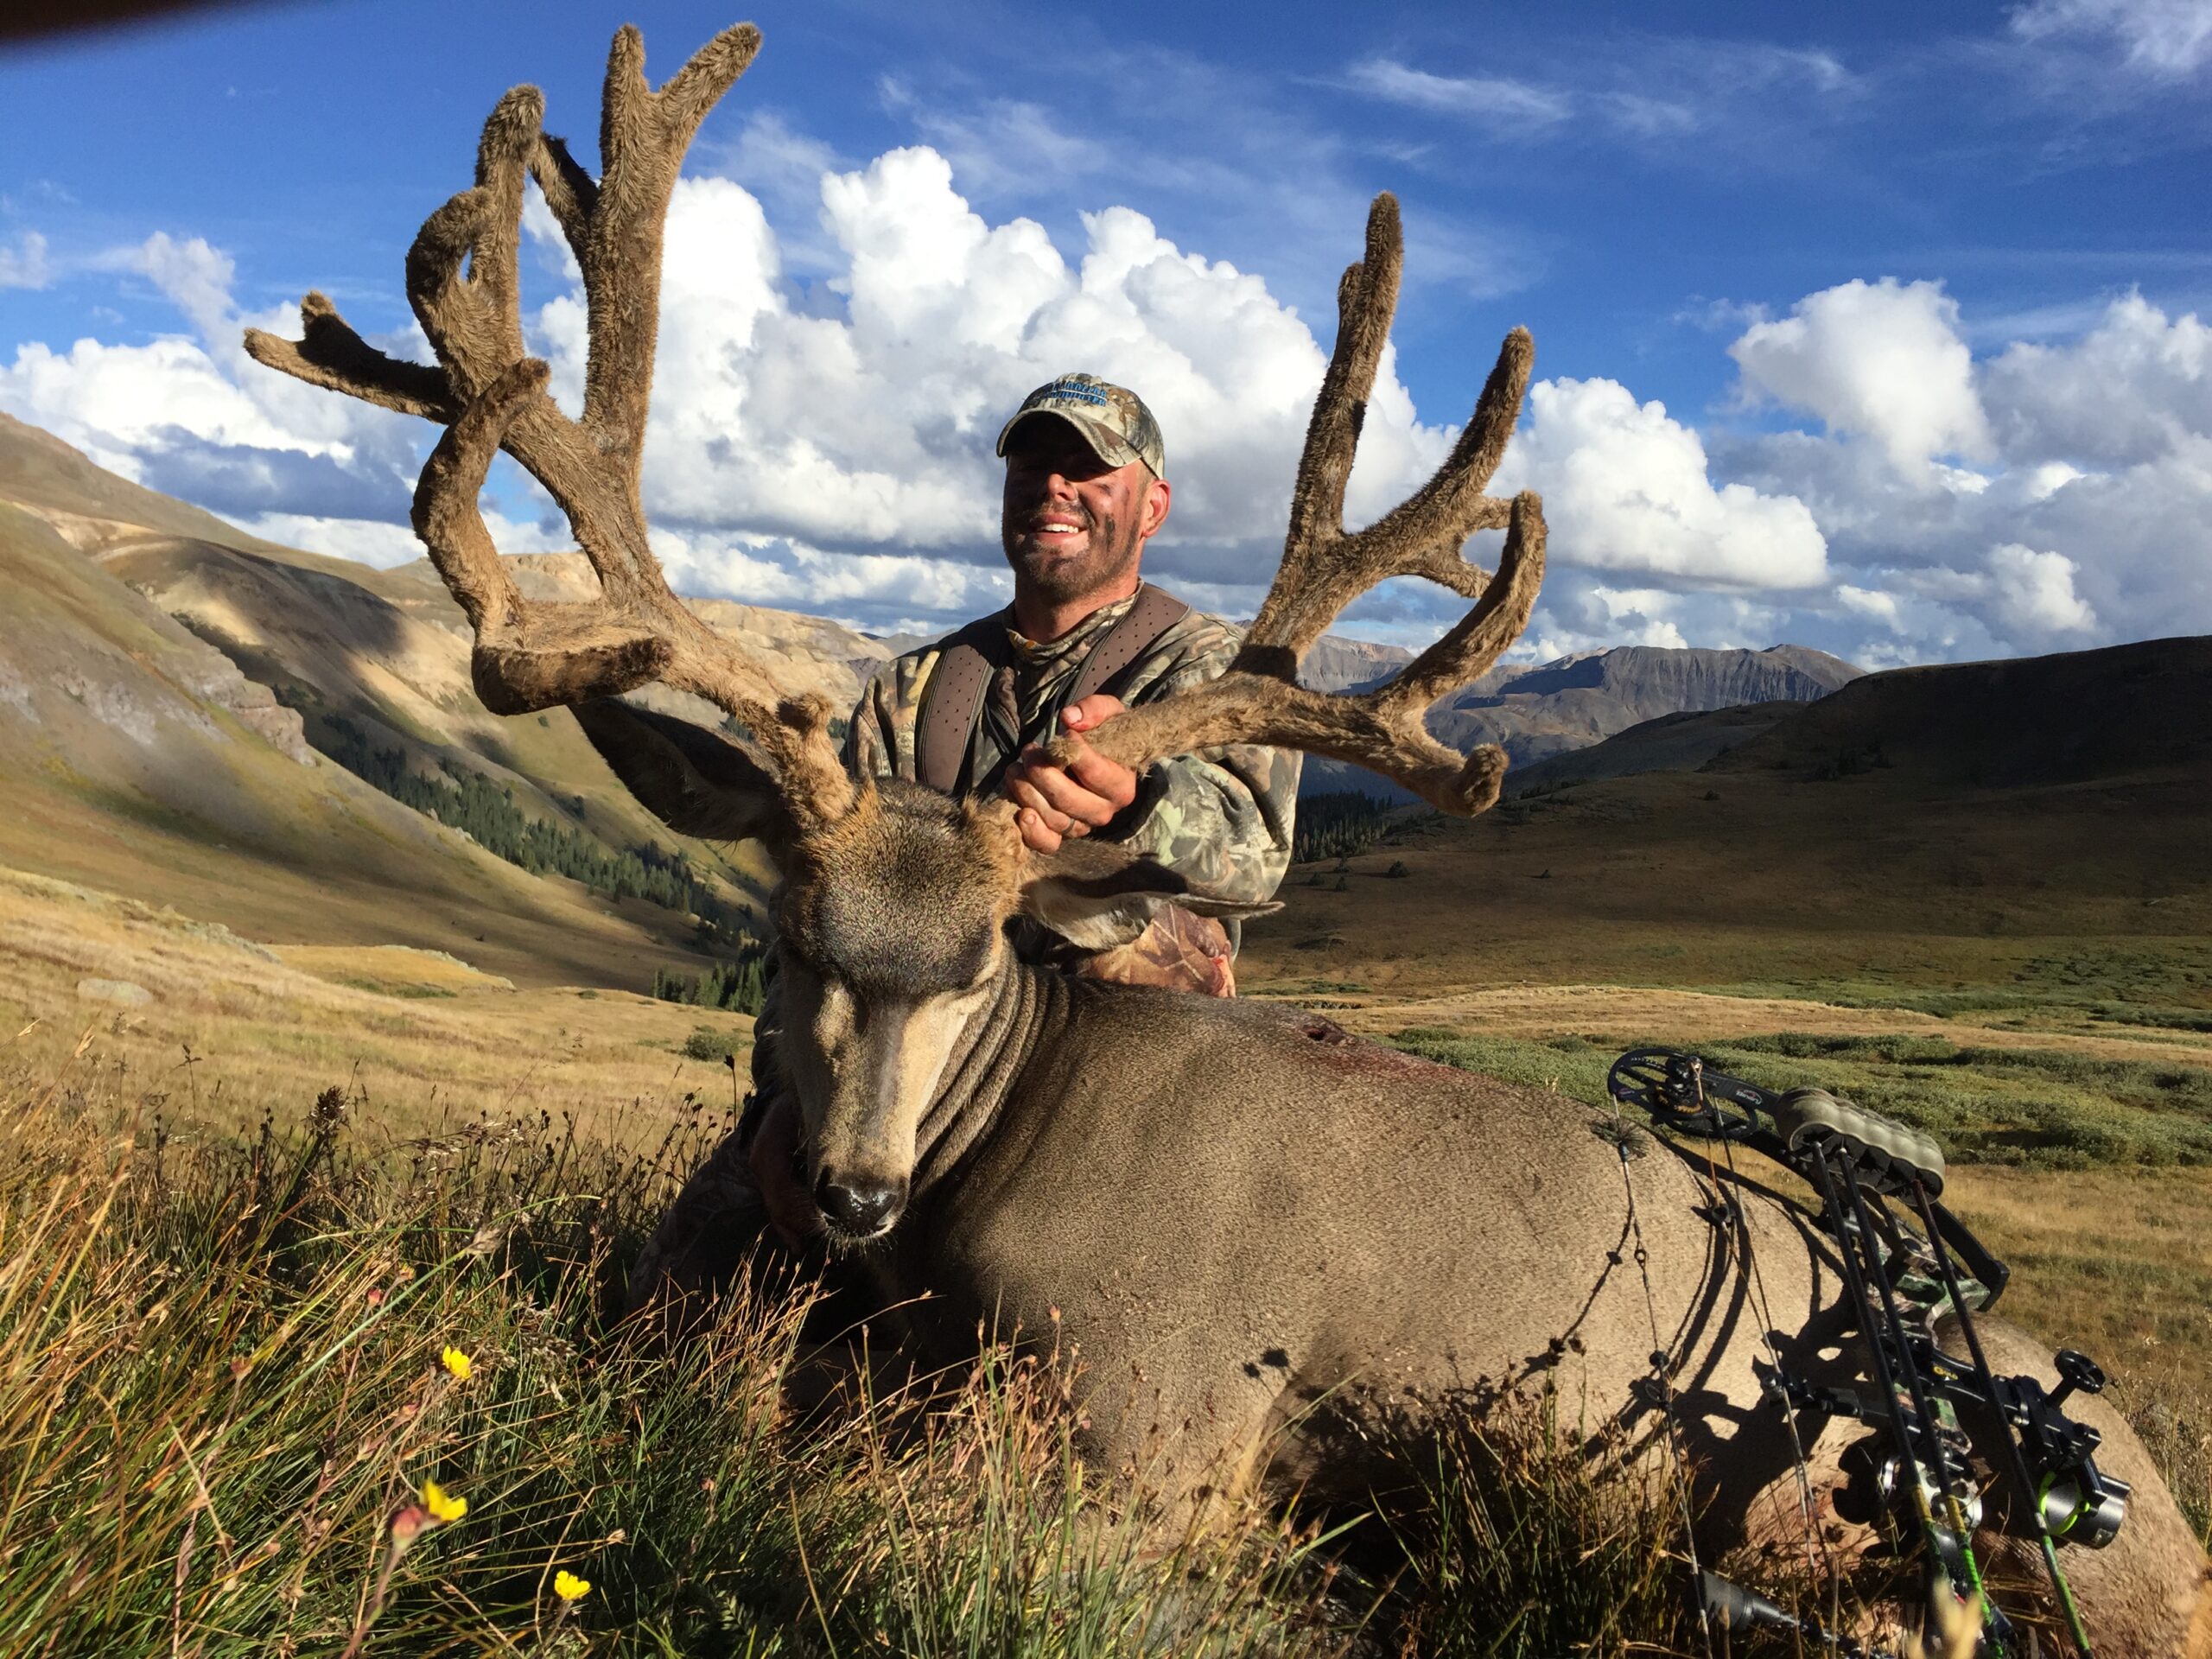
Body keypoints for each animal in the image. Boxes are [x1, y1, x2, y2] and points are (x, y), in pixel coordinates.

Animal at [244, 25, 2211, 1654]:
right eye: (790, 937)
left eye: (980, 961)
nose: (853, 1188)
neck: (978, 1190)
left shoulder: (1165, 1417)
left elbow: (862, 1493)